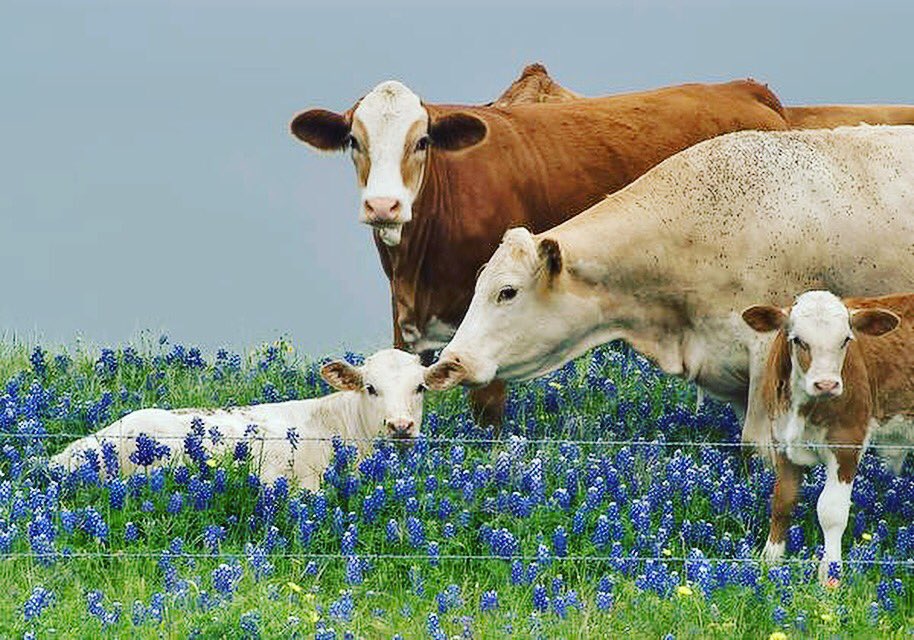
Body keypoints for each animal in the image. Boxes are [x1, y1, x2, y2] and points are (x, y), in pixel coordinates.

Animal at [742, 291, 910, 584]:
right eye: (798, 339)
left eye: (845, 340)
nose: (827, 384)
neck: (802, 407)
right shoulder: (781, 441)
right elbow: (782, 500)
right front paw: (770, 559)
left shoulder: (847, 444)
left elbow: (831, 511)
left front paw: (830, 574)